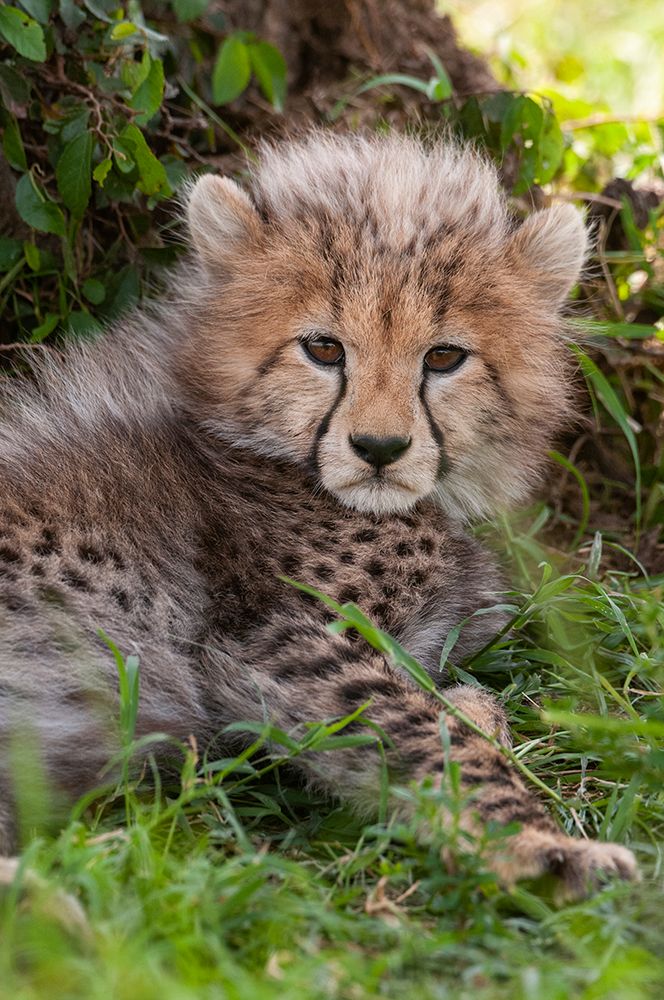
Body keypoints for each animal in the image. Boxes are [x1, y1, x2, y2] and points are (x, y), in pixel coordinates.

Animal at [0, 131, 637, 896]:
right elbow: (422, 731)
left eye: (444, 357)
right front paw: (546, 847)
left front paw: (477, 714)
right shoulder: (277, 640)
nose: (380, 448)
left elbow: (458, 701)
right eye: (324, 348)